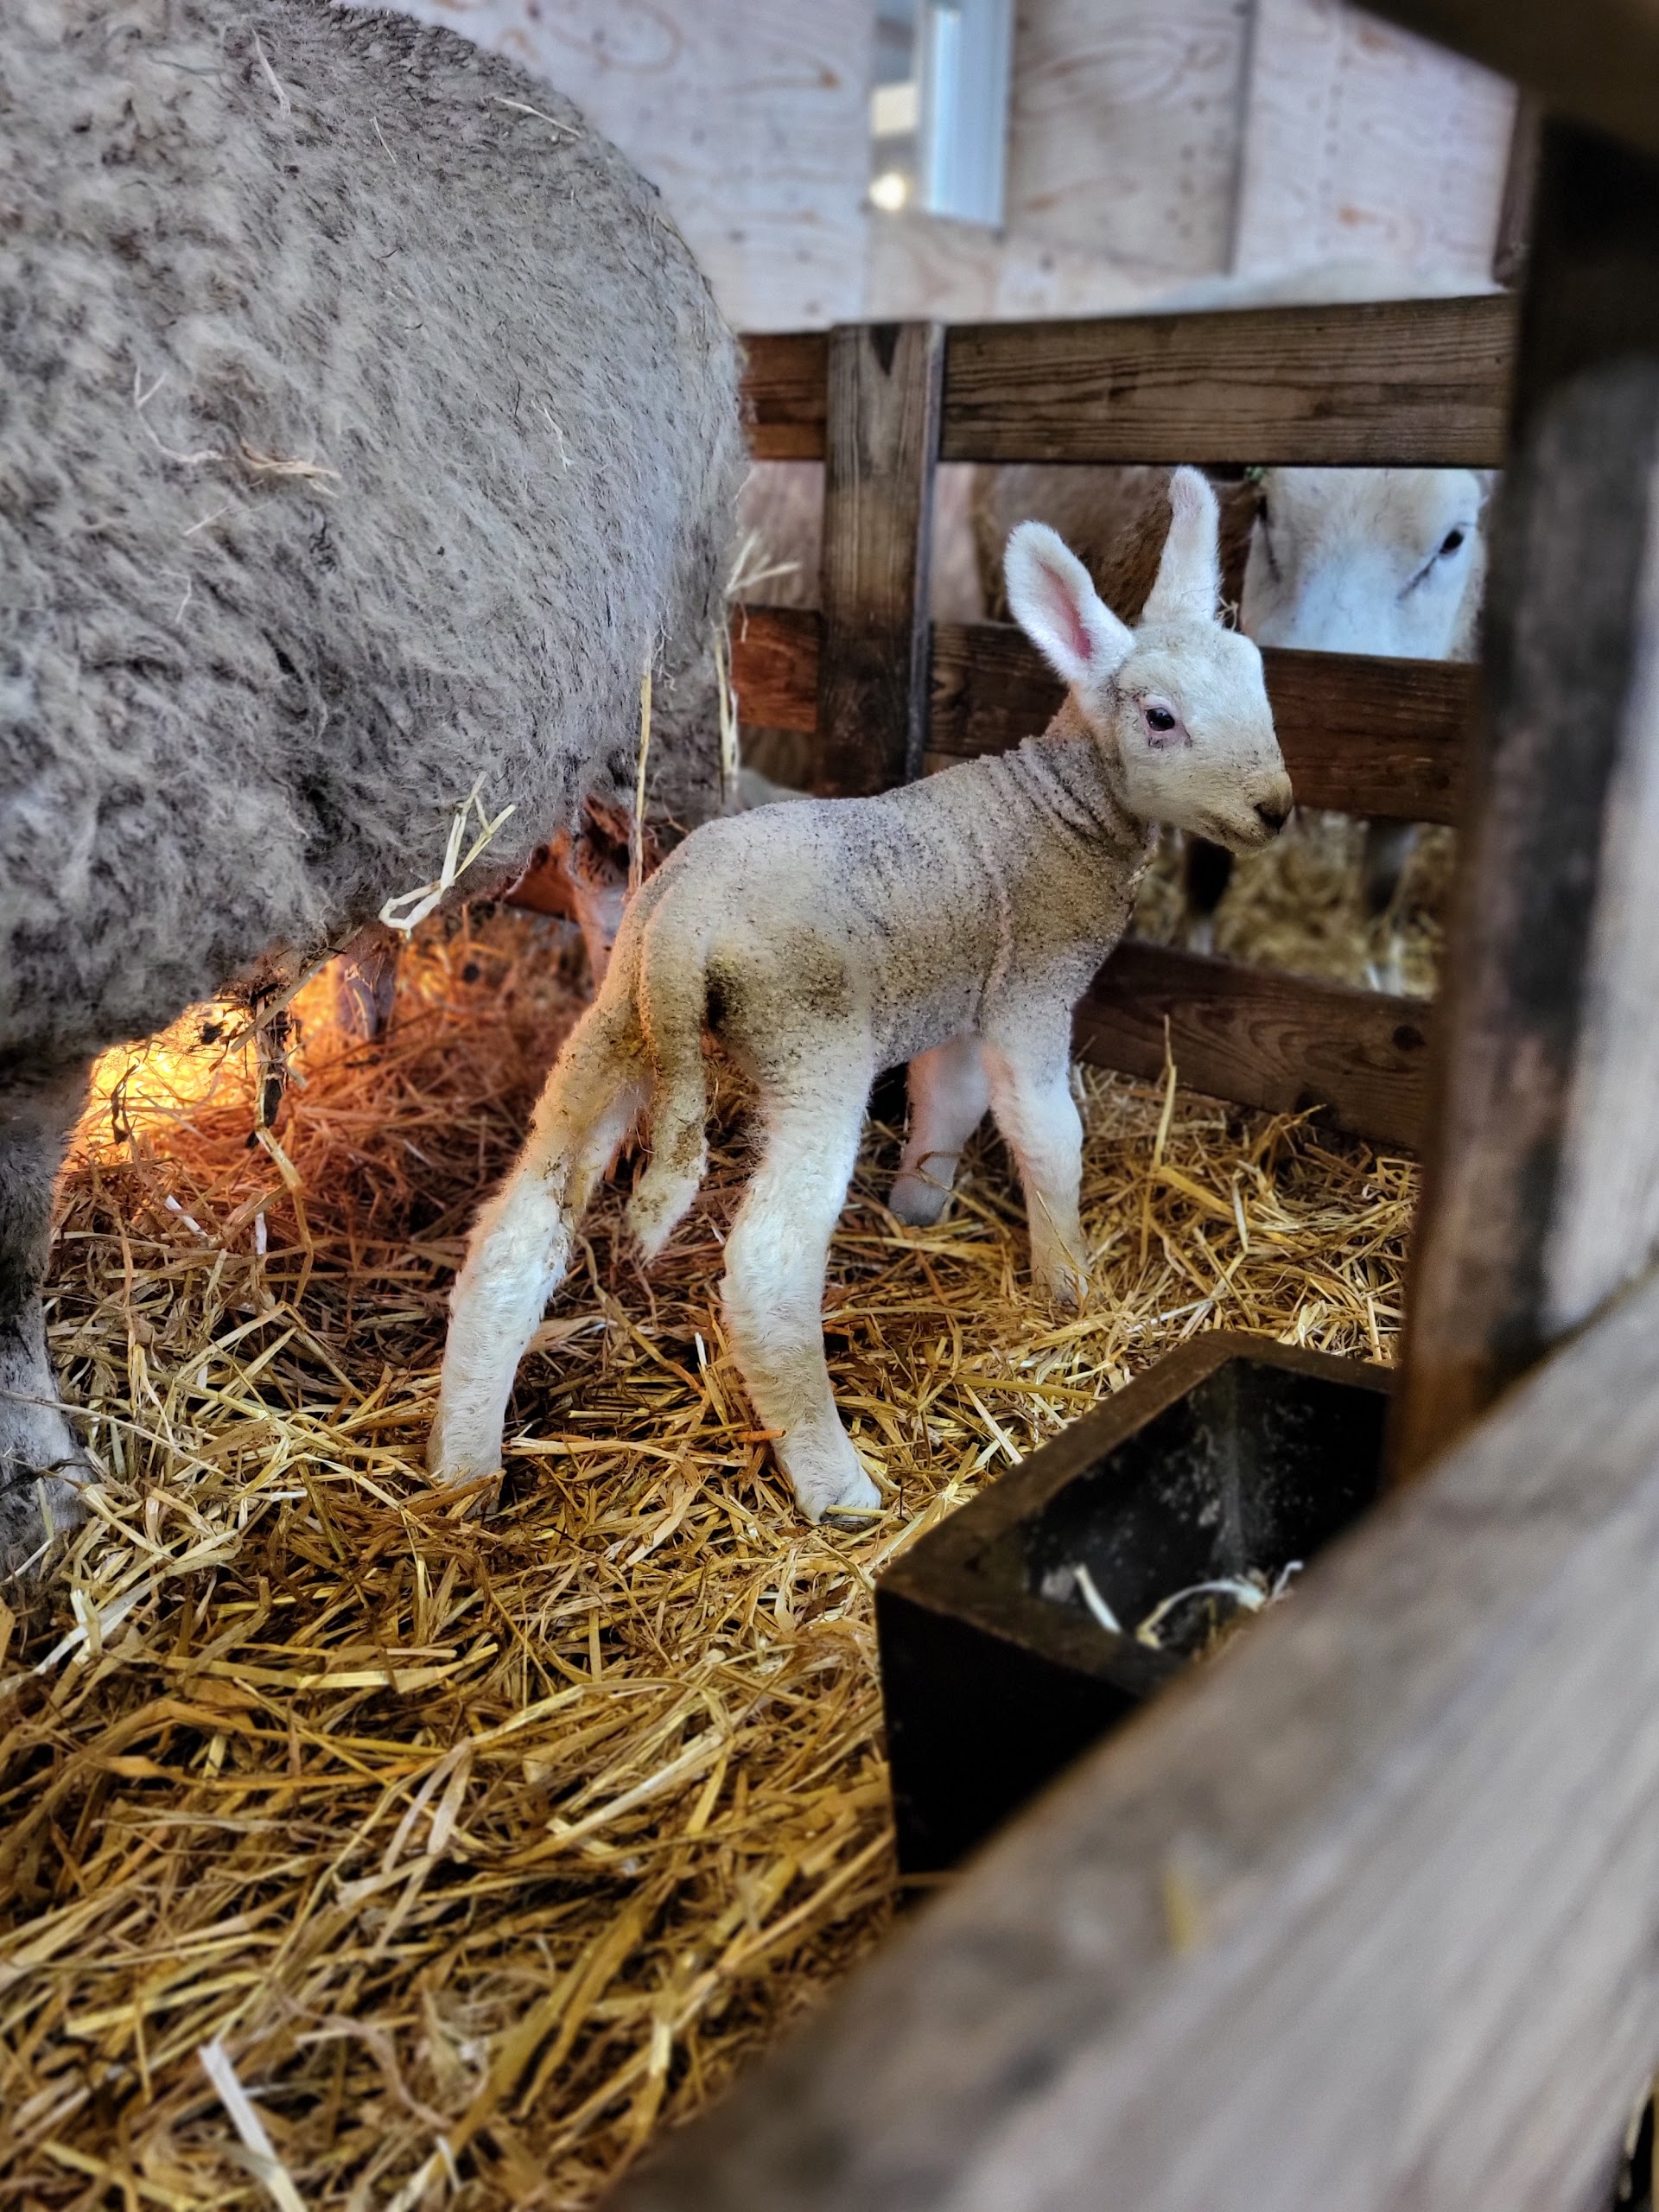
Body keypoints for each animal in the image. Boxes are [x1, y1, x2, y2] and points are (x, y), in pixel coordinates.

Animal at [430, 471, 1291, 1522]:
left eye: (1259, 682)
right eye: (1162, 718)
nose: (1278, 807)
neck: (1059, 809)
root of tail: (683, 922)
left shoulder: (964, 993)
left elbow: (948, 1102)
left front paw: (920, 1204)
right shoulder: (1031, 994)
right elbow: (1048, 1136)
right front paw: (1069, 1282)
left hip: (616, 1027)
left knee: (515, 1237)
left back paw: (461, 1471)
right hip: (811, 1044)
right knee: (766, 1271)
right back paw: (838, 1485)